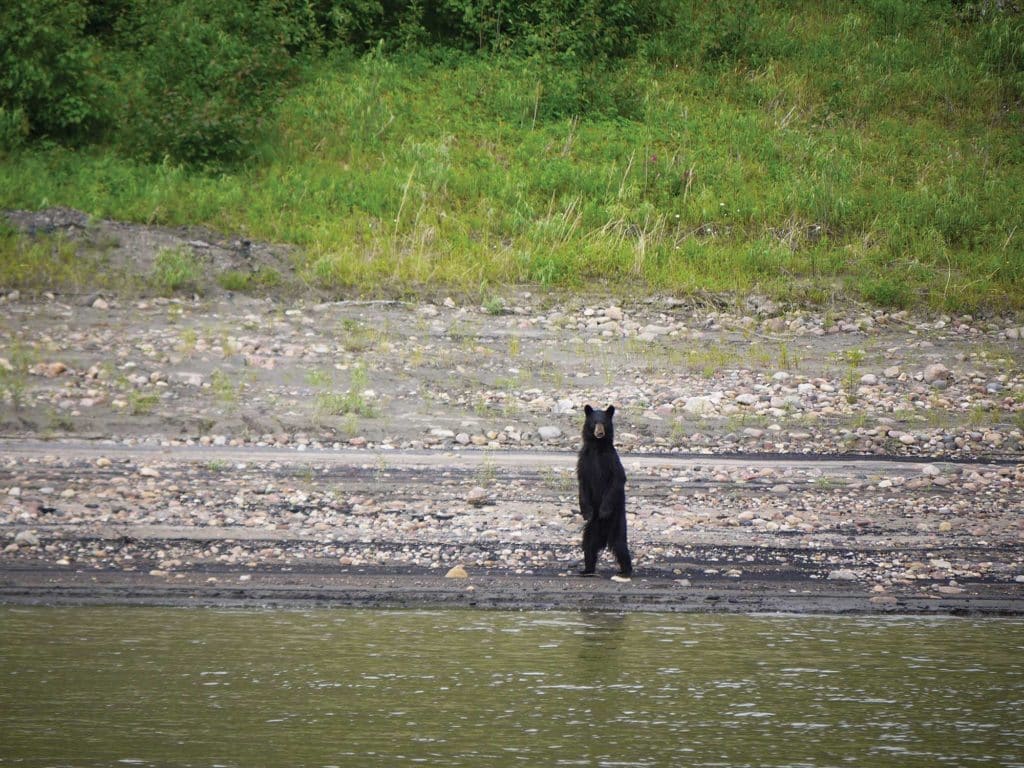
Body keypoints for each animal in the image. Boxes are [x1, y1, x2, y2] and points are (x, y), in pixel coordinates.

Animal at [577, 405, 630, 581]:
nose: (599, 432)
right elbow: (583, 485)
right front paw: (587, 512)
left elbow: (617, 480)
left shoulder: (611, 460)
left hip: (617, 522)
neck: (596, 448)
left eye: (604, 423)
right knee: (588, 545)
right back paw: (587, 570)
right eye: (595, 422)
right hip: (592, 529)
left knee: (620, 546)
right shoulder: (583, 462)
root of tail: (604, 536)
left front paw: (604, 511)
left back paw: (625, 571)